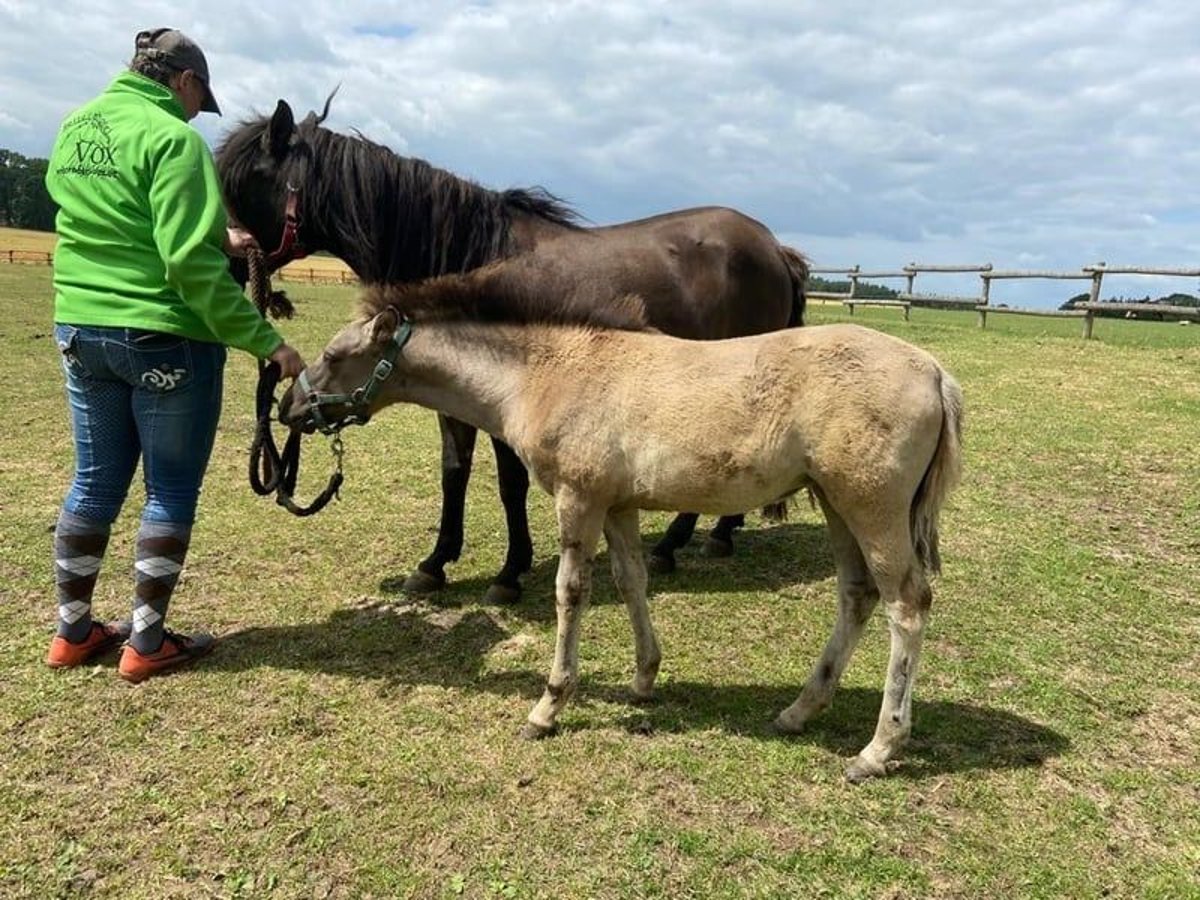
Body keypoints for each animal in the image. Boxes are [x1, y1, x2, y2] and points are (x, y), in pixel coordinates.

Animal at [220, 98, 811, 602]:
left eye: (244, 181)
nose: (223, 262)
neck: (464, 250)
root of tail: (772, 246)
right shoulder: (450, 397)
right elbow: (453, 471)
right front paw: (435, 564)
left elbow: (510, 483)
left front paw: (509, 573)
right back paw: (715, 533)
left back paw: (678, 543)